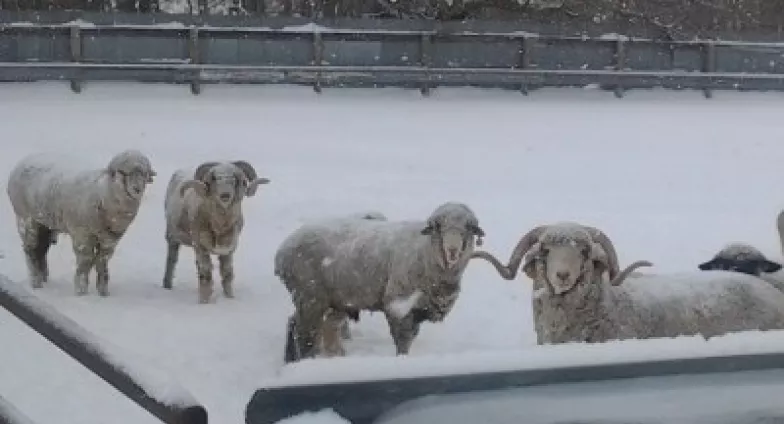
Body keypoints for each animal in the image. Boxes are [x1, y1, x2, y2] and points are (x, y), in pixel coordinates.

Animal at [6, 151, 156, 296]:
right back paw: (35, 282)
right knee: (30, 249)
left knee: (41, 249)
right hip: (25, 218)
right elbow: (86, 261)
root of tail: (24, 160)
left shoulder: (110, 239)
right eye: (123, 172)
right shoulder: (82, 234)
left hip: (44, 223)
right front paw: (81, 290)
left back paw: (43, 278)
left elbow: (102, 261)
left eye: (145, 173)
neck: (103, 193)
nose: (137, 189)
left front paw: (103, 292)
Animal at [161, 161, 272, 304]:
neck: (220, 227)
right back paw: (167, 286)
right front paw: (204, 302)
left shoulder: (228, 250)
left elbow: (227, 274)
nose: (225, 195)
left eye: (234, 179)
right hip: (172, 237)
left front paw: (229, 298)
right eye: (215, 178)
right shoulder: (201, 247)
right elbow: (206, 274)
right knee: (172, 260)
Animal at [274, 202, 484, 362]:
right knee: (304, 335)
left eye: (469, 227)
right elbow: (402, 341)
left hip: (329, 300)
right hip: (309, 297)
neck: (424, 251)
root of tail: (282, 250)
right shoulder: (398, 305)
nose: (452, 251)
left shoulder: (417, 310)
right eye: (438, 226)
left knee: (296, 324)